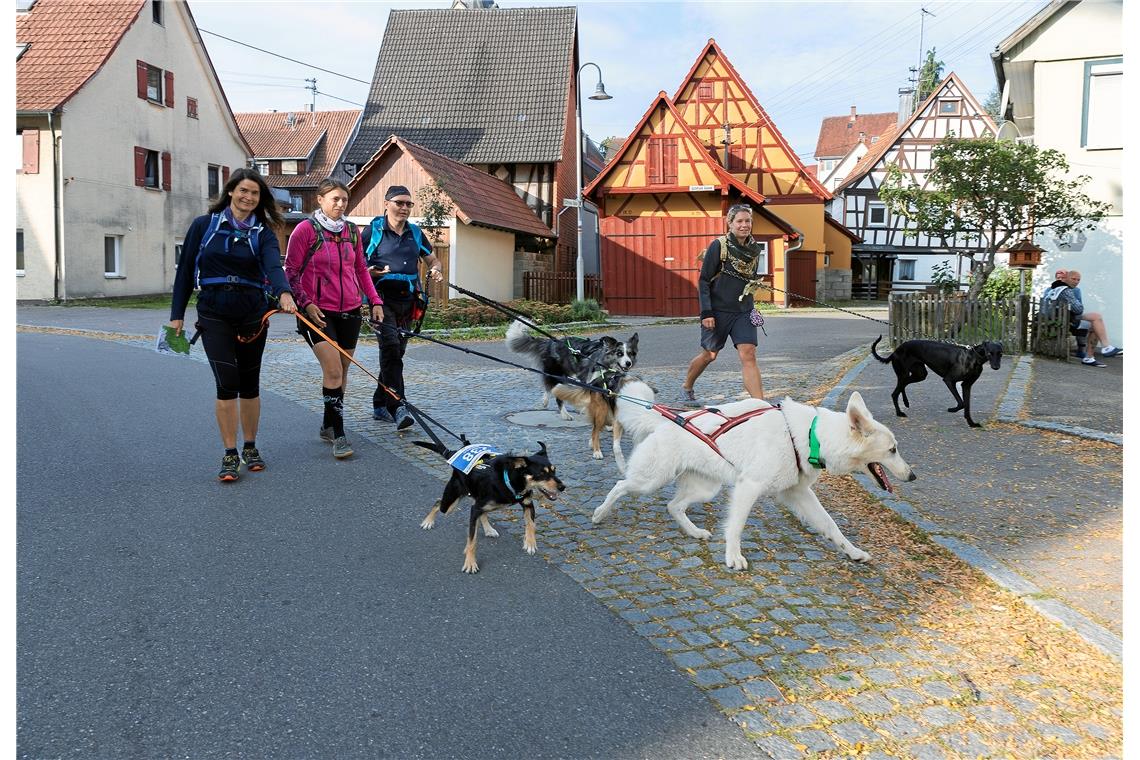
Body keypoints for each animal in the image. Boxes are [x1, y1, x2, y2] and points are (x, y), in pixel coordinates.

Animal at [414, 439, 565, 569]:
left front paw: (530, 543)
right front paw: (470, 563)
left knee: (483, 513)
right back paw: (428, 522)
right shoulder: (475, 509)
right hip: (451, 503)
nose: (562, 487)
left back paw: (488, 529)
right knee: (438, 502)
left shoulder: (527, 504)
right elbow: (472, 540)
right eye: (541, 473)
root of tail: (454, 452)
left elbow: (531, 524)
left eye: (554, 470)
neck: (510, 480)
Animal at [506, 319, 638, 419]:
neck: (605, 364)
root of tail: (549, 342)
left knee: (549, 387)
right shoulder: (590, 382)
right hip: (557, 374)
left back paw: (545, 401)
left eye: (630, 353)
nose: (628, 363)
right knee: (555, 393)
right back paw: (565, 415)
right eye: (619, 353)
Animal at [597, 380, 916, 569]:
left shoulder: (798, 493)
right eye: (893, 450)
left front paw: (853, 552)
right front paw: (733, 557)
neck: (810, 437)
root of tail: (665, 420)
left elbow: (831, 526)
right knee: (620, 485)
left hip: (705, 489)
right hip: (650, 480)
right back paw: (599, 513)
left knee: (673, 506)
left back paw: (695, 532)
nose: (912, 476)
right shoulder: (748, 487)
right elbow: (736, 526)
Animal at [866, 334, 1003, 426]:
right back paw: (899, 412)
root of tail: (895, 351)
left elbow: (967, 406)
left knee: (902, 386)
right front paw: (952, 409)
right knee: (894, 393)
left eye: (1000, 353)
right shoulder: (949, 380)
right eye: (990, 353)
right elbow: (962, 403)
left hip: (919, 374)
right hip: (906, 373)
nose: (996, 367)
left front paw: (971, 423)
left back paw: (906, 402)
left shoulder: (966, 385)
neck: (973, 357)